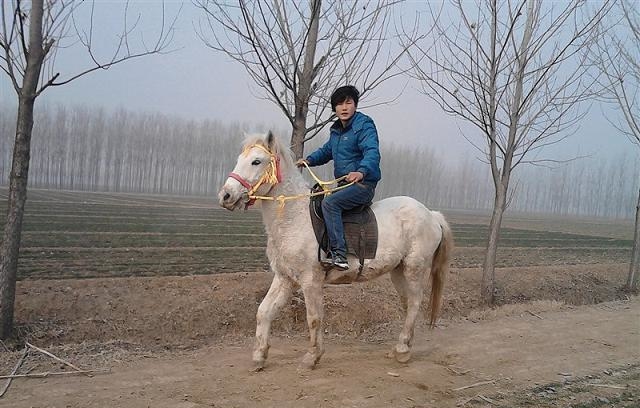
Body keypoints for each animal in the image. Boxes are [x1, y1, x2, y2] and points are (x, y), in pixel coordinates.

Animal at [220, 131, 456, 370]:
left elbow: (314, 318)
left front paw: (312, 357)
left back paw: (402, 351)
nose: (225, 196)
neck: (293, 218)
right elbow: (264, 312)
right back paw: (401, 347)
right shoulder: (284, 278)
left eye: (256, 161)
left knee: (416, 302)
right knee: (408, 304)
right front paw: (259, 356)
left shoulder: (310, 280)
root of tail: (431, 214)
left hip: (414, 269)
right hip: (398, 271)